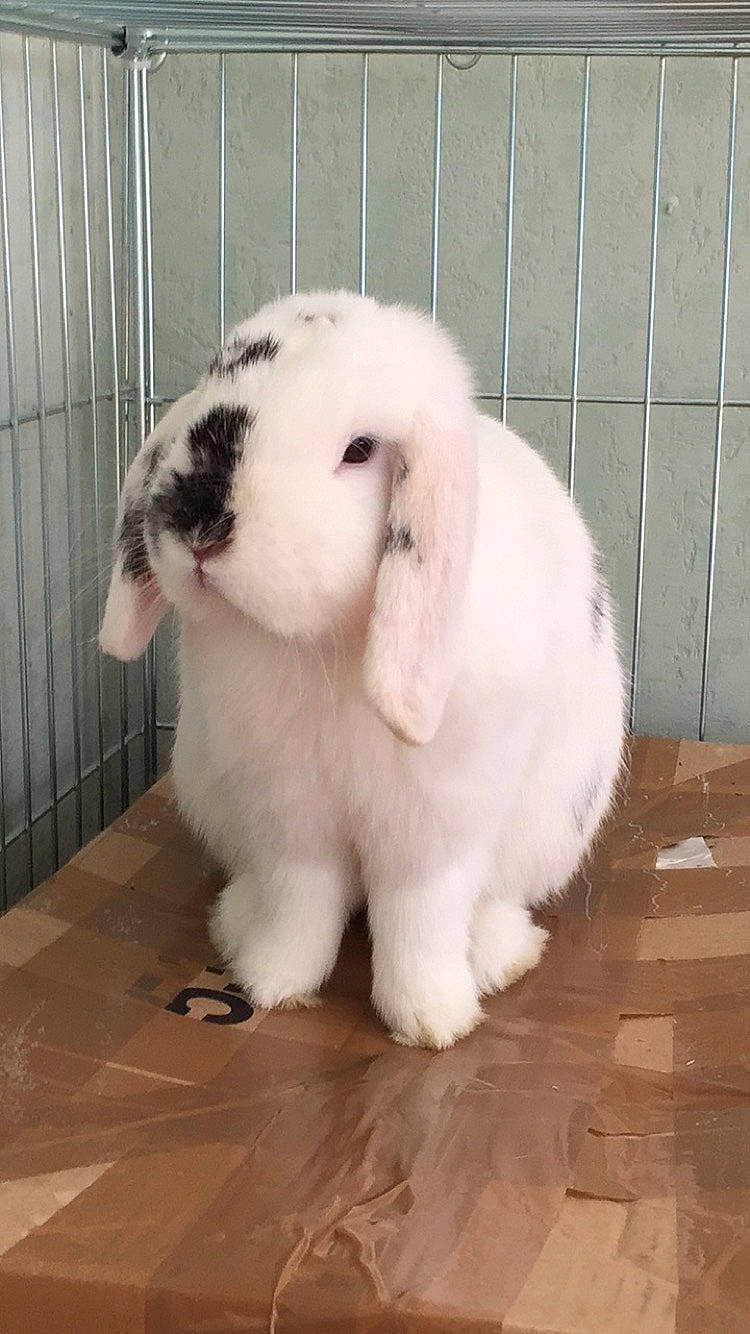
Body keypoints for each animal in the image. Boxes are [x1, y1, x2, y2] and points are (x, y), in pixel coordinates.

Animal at [100, 290, 625, 1049]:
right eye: (212, 387)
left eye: (359, 450)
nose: (198, 525)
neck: (317, 645)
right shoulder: (290, 818)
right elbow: (302, 904)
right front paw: (272, 984)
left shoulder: (433, 832)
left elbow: (419, 920)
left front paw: (431, 1022)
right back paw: (236, 924)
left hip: (549, 829)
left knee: (490, 904)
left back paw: (499, 958)